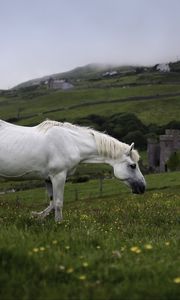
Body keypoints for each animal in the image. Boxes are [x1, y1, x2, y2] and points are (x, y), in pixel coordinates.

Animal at [0, 119, 146, 220]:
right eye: (133, 165)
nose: (143, 187)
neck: (71, 142)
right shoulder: (58, 176)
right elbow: (58, 203)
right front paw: (58, 223)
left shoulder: (48, 178)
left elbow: (52, 203)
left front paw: (39, 216)